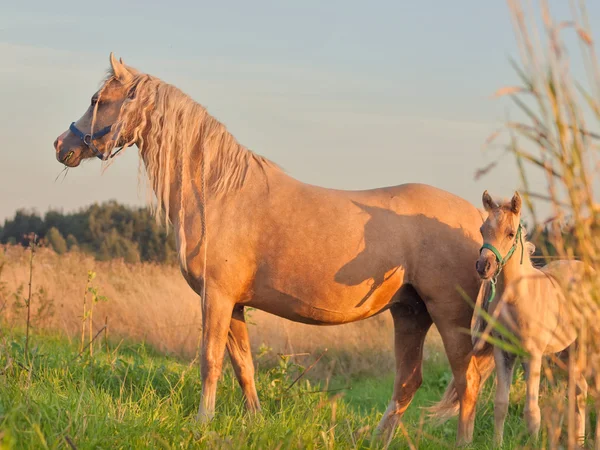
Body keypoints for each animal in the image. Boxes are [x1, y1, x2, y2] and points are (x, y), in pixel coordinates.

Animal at [52, 51, 492, 442]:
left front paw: (202, 423)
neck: (217, 194)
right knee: (408, 382)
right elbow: (242, 366)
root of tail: (475, 217)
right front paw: (254, 421)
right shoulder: (234, 304)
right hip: (410, 312)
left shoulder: (216, 298)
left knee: (466, 380)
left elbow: (210, 361)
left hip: (448, 315)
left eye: (97, 100)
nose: (60, 145)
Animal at [474, 190, 592, 446]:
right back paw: (576, 440)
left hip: (582, 348)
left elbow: (532, 411)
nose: (483, 266)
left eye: (510, 233)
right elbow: (501, 404)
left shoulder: (533, 354)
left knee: (580, 390)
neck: (518, 296)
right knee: (578, 389)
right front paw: (497, 445)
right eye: (482, 229)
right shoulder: (504, 353)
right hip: (564, 351)